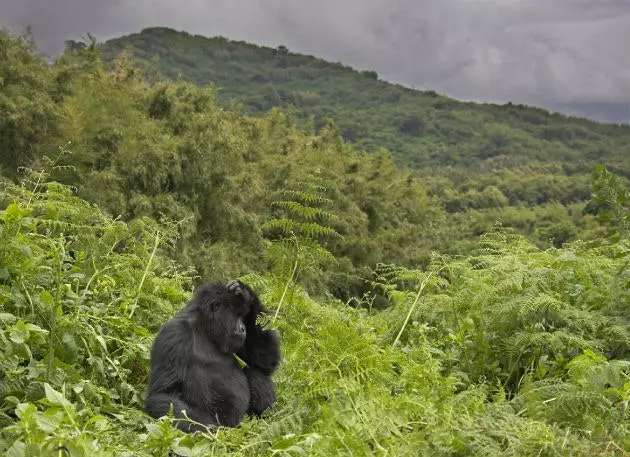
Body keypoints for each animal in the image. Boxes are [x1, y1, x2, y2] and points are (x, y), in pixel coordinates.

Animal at [146, 278, 282, 432]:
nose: (243, 329)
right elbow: (163, 394)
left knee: (256, 371)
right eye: (237, 314)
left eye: (243, 316)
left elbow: (264, 362)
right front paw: (208, 429)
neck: (204, 327)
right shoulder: (174, 334)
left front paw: (247, 293)